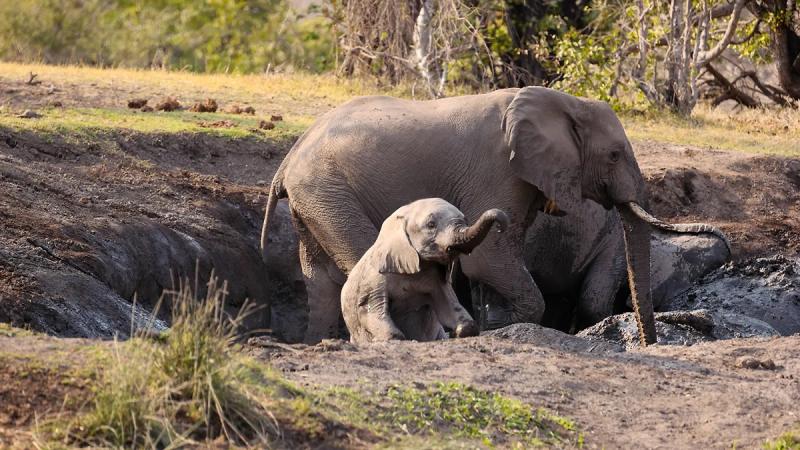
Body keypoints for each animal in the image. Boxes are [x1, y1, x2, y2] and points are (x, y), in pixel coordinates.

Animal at [342, 199, 506, 342]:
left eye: (465, 220)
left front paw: (458, 332)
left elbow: (448, 306)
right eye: (431, 225)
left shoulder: (436, 278)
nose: (500, 227)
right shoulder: (375, 278)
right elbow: (371, 309)